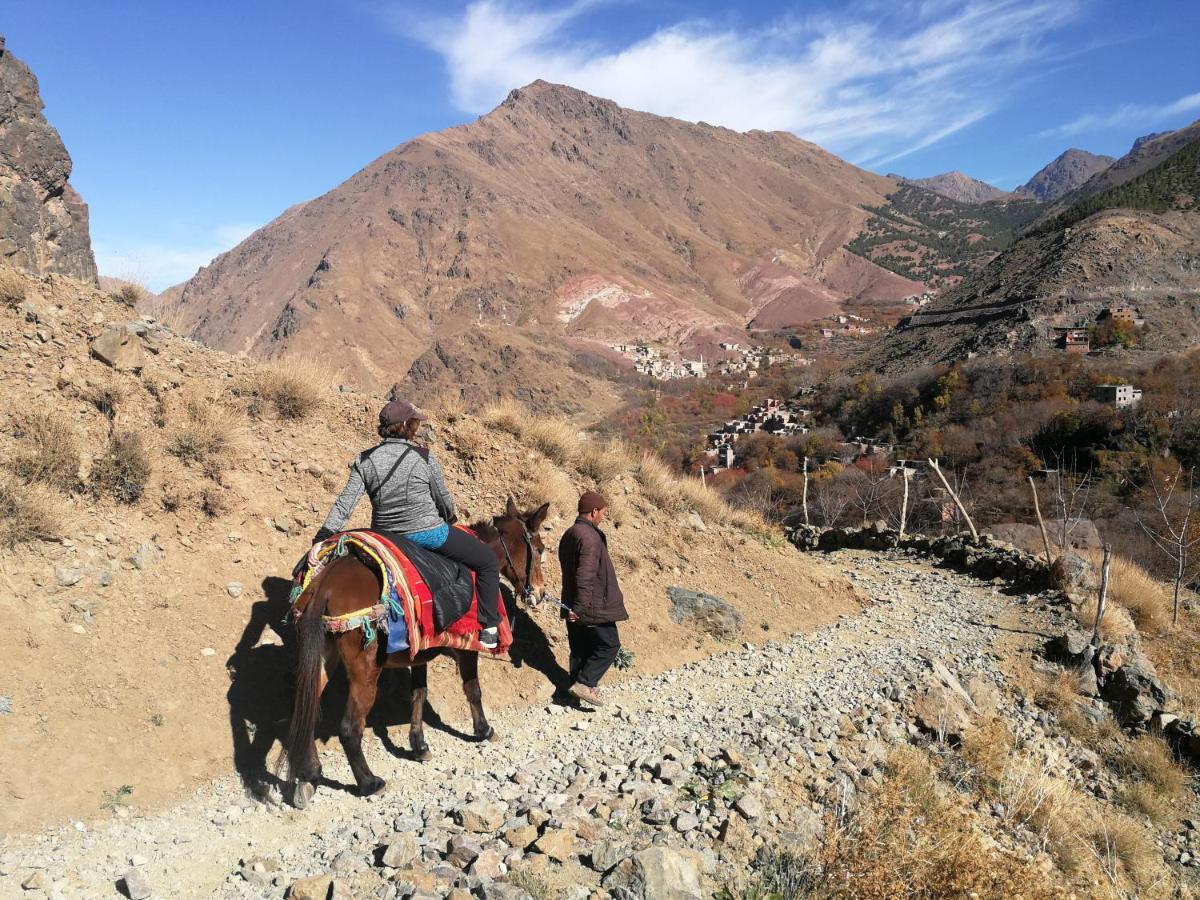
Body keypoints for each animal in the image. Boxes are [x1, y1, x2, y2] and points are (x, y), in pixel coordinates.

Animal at [283, 501, 549, 811]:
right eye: (540, 548)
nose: (540, 593)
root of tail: (326, 583)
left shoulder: (419, 650)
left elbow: (419, 693)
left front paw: (419, 745)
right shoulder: (467, 647)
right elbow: (473, 689)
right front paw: (484, 730)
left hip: (324, 658)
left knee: (308, 711)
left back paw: (309, 775)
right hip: (365, 671)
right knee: (349, 728)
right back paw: (369, 783)